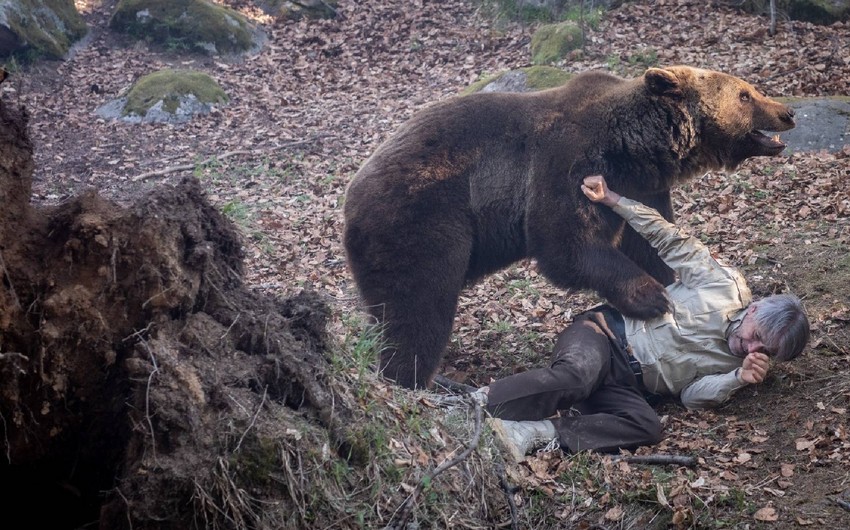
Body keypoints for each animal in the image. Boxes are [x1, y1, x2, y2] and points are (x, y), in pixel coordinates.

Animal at [342, 66, 792, 388]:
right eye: (745, 94)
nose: (787, 112)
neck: (632, 147)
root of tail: (352, 191)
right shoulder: (566, 162)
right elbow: (566, 244)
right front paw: (651, 297)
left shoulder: (643, 186)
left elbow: (647, 239)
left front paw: (670, 281)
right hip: (421, 218)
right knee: (418, 306)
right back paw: (408, 378)